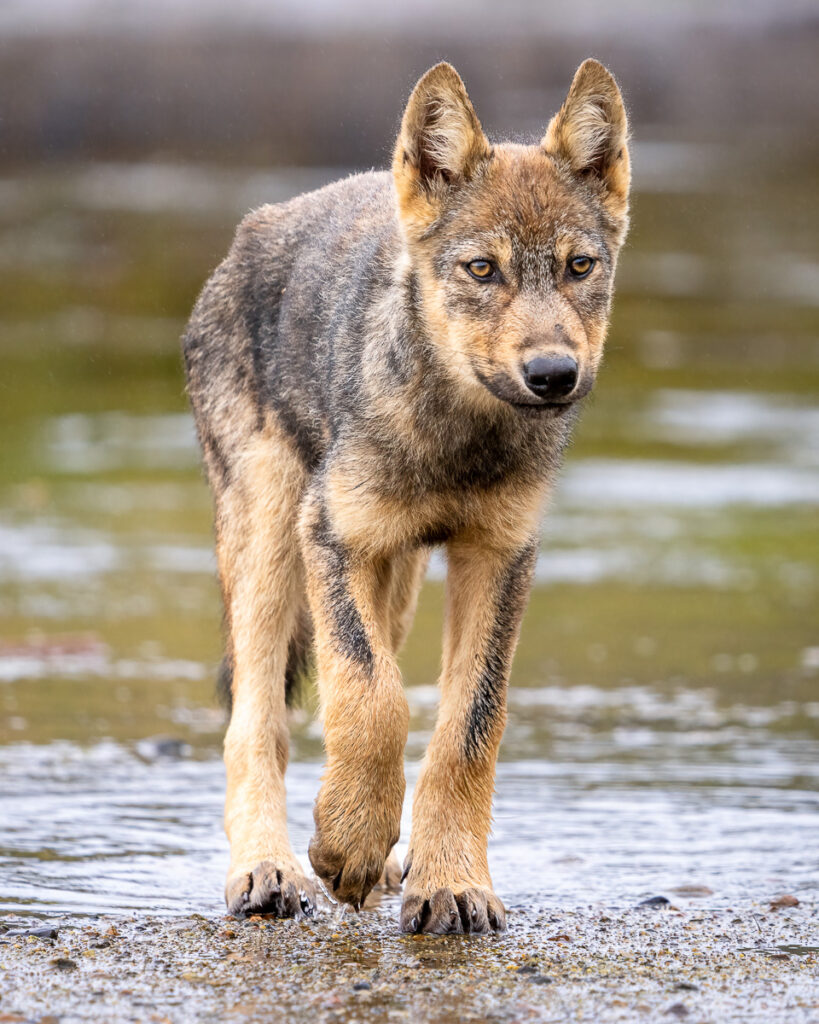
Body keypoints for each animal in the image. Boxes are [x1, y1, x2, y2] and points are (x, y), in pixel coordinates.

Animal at [183, 59, 630, 934]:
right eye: (482, 270)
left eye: (578, 267)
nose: (553, 374)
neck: (459, 439)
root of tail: (253, 230)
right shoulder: (333, 536)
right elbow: (374, 697)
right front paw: (347, 841)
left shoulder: (499, 556)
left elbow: (466, 726)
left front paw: (448, 881)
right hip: (270, 543)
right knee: (256, 723)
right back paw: (268, 869)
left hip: (394, 576)